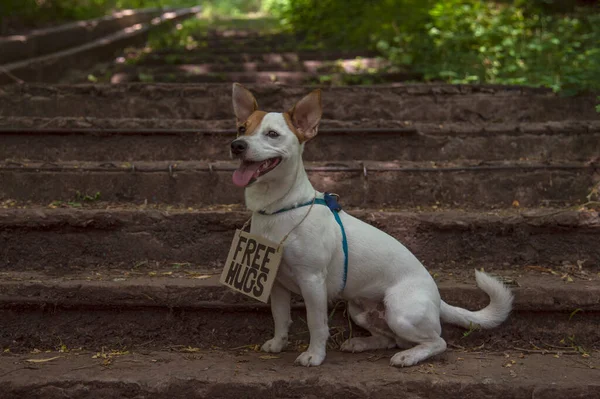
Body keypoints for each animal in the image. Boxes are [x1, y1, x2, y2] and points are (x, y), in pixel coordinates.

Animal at [227, 83, 512, 368]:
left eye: (272, 134)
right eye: (241, 128)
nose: (236, 145)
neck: (279, 207)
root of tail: (438, 298)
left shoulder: (312, 281)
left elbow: (316, 323)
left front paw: (314, 355)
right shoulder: (276, 283)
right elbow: (280, 317)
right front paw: (278, 343)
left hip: (399, 311)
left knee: (437, 341)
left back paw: (407, 356)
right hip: (359, 310)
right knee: (390, 338)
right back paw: (361, 343)